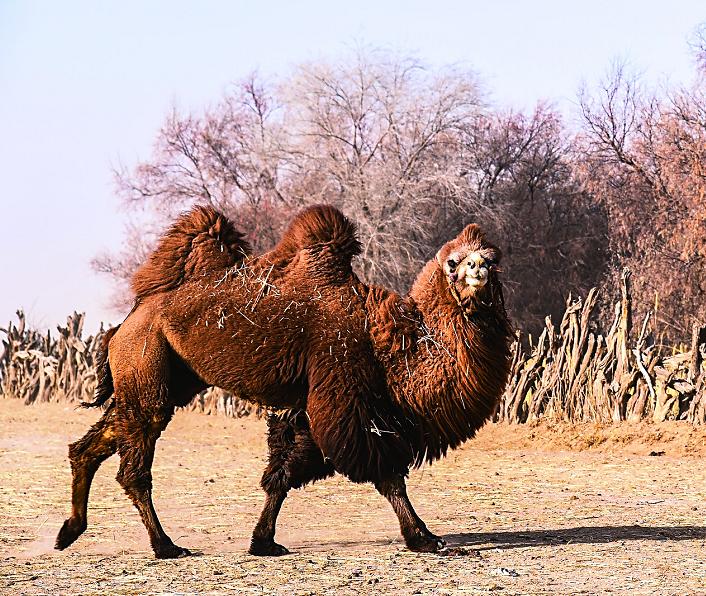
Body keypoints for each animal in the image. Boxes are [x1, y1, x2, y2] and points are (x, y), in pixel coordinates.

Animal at [52, 205, 508, 560]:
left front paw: (263, 542)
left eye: (492, 258)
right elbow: (386, 472)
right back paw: (165, 546)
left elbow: (283, 471)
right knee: (134, 466)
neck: (387, 339)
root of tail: (123, 324)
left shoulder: (309, 405)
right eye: (454, 262)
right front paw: (424, 537)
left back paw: (69, 530)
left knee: (91, 444)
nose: (479, 269)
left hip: (163, 379)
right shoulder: (343, 396)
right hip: (148, 368)